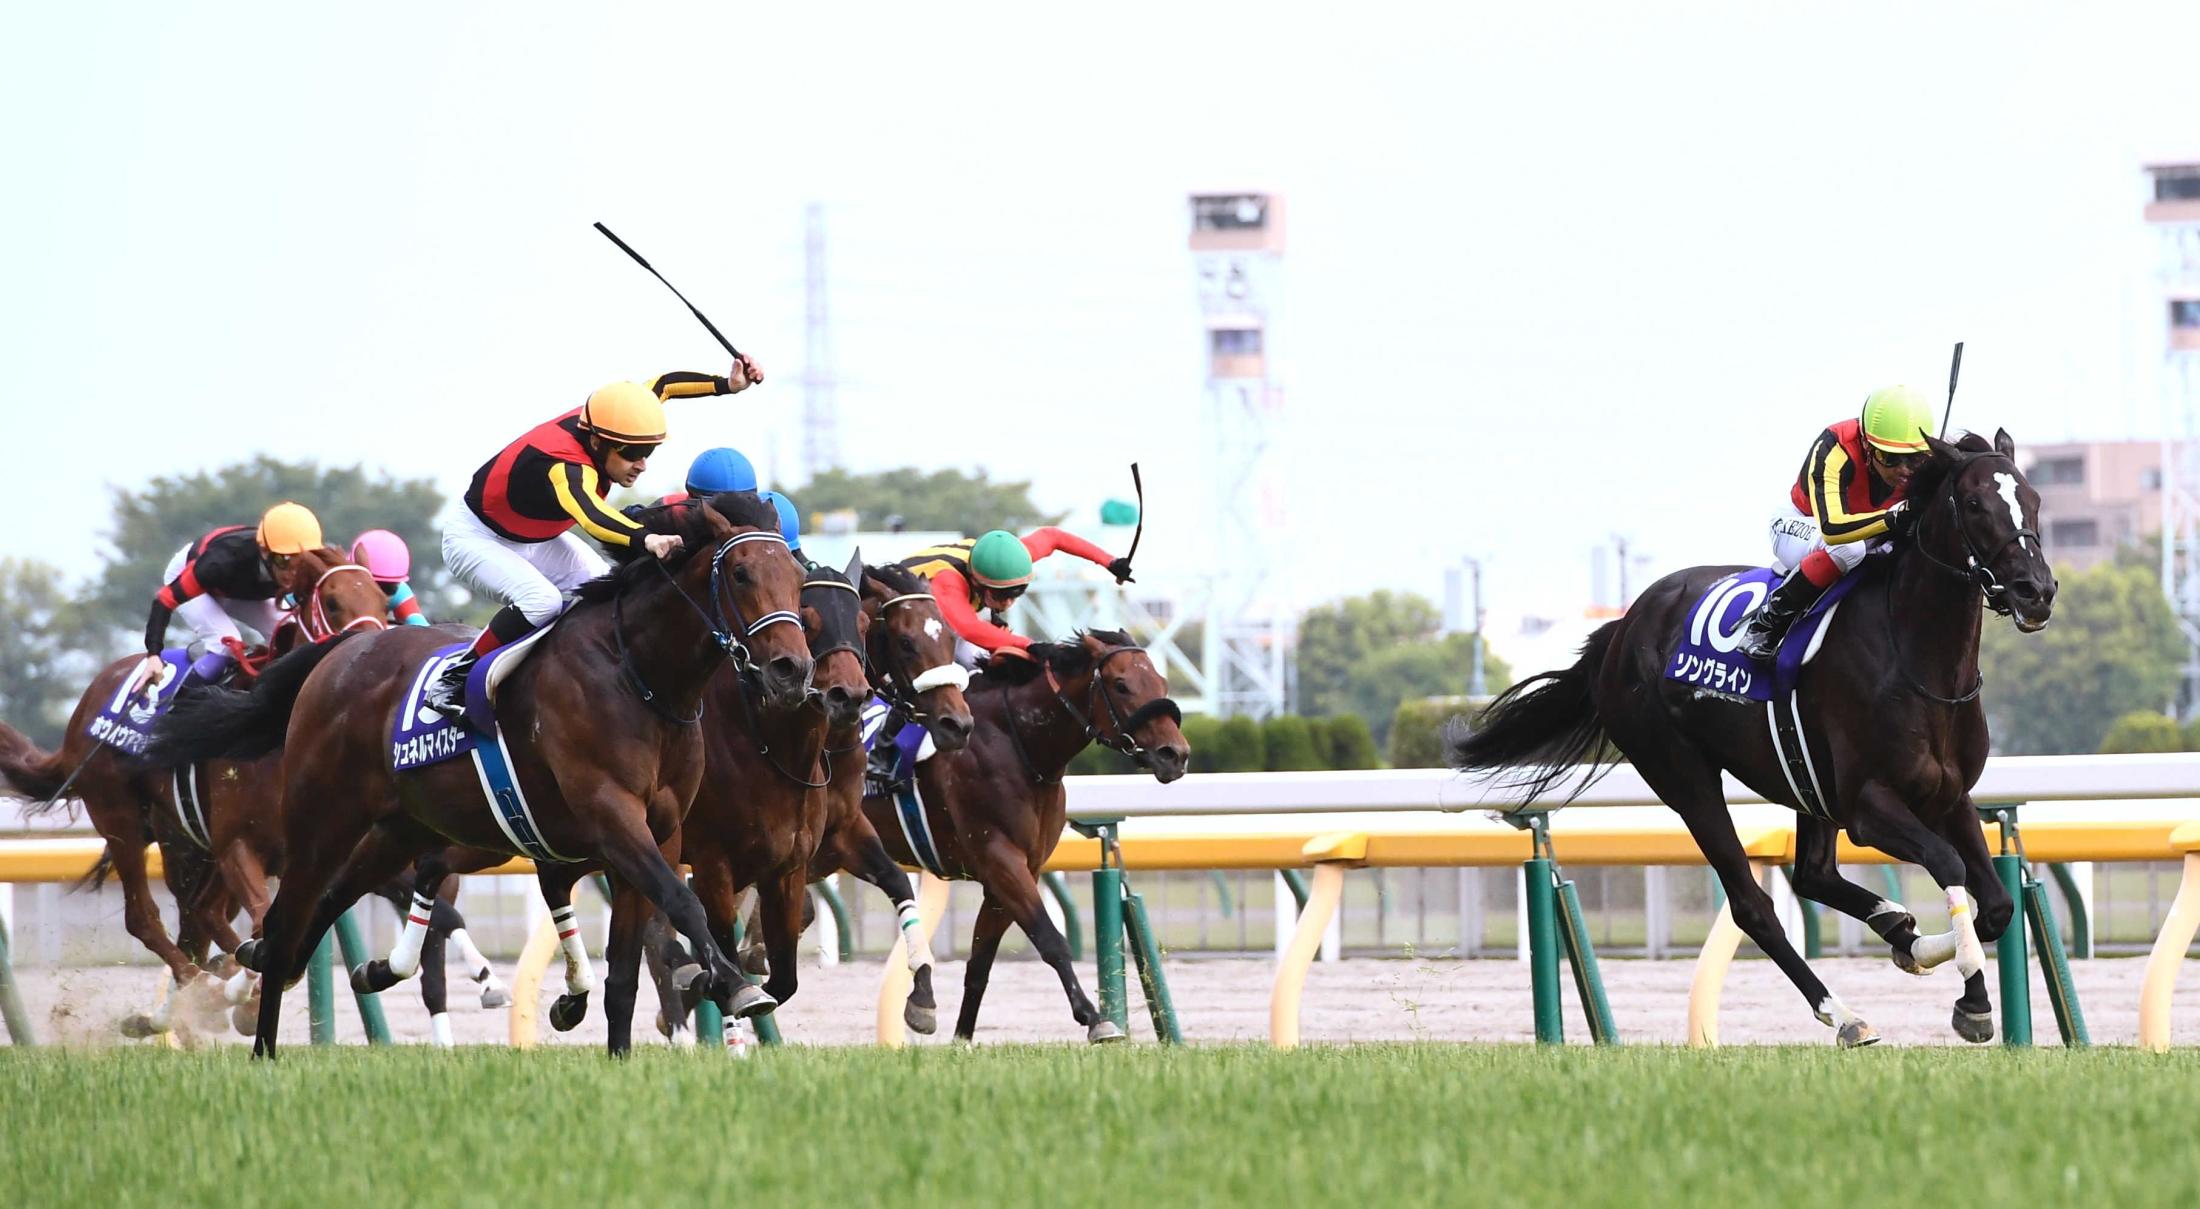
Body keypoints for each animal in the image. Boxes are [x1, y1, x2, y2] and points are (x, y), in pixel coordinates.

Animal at [148, 496, 818, 1055]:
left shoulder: (663, 830)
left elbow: (627, 971)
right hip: (321, 820)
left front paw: (623, 1054)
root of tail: (338, 654)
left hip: (396, 830)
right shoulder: (612, 817)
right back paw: (263, 1044)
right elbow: (683, 903)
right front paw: (735, 983)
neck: (637, 677)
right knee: (288, 918)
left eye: (796, 578)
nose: (791, 669)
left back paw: (326, 974)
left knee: (331, 901)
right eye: (741, 574)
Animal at [866, 628, 1196, 1046]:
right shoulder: (1001, 859)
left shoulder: (1015, 871)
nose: (1175, 754)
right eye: (1121, 685)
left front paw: (961, 1039)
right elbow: (1050, 939)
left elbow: (980, 964)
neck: (1015, 741)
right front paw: (1096, 1019)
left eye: (1162, 682)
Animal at [1452, 430, 2050, 1046]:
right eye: (1975, 504)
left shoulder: (1949, 797)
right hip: (1684, 777)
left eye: (2032, 500)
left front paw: (1929, 950)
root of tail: (1623, 627)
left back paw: (1897, 929)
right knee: (1751, 903)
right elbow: (1949, 867)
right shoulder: (1869, 806)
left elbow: (1997, 905)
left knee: (1813, 874)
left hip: (1808, 785)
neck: (1916, 659)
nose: (2036, 591)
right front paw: (1973, 999)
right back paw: (1845, 1013)